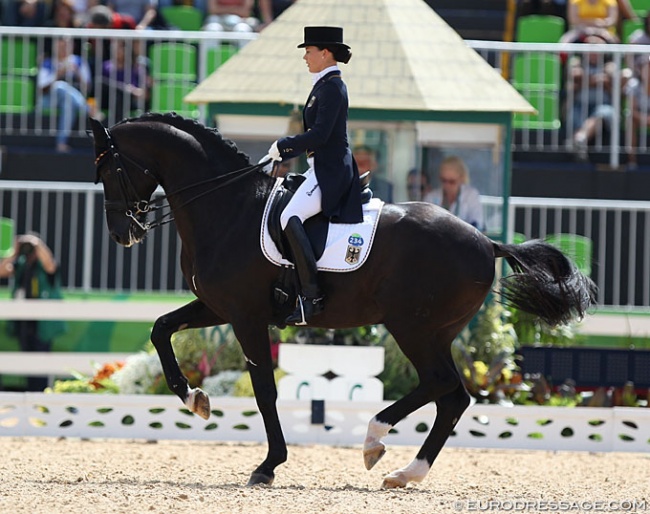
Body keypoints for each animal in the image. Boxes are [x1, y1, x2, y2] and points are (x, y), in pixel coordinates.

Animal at [88, 113, 596, 488]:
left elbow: (265, 389)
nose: (121, 234)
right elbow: (161, 329)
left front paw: (268, 465)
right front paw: (194, 398)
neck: (228, 207)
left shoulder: (246, 316)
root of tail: (486, 242)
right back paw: (406, 472)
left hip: (413, 327)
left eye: (110, 170)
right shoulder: (219, 307)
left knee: (439, 384)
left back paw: (375, 440)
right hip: (435, 332)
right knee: (452, 397)